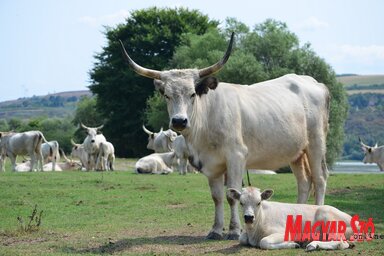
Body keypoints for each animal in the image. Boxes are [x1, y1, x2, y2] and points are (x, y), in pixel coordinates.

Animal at [120, 32, 330, 240]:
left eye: (192, 94)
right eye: (166, 95)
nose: (179, 121)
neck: (206, 120)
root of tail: (314, 83)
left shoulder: (236, 157)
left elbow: (232, 195)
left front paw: (235, 230)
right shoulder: (212, 164)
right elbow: (217, 196)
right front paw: (215, 230)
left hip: (316, 144)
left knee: (319, 179)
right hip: (296, 152)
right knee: (304, 182)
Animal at [226, 186, 356, 252]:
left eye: (258, 203)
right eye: (241, 203)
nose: (248, 217)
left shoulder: (284, 232)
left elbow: (264, 242)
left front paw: (292, 244)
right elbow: (242, 238)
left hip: (328, 218)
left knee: (341, 243)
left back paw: (313, 245)